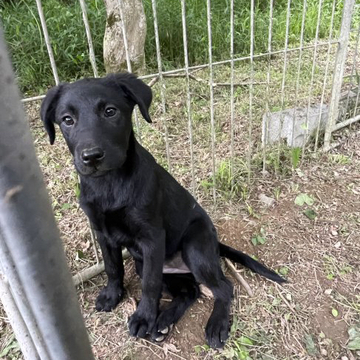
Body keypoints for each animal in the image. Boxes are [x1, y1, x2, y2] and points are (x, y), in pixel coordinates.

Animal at [40, 73, 286, 348]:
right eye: (67, 120)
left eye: (110, 112)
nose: (91, 157)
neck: (109, 184)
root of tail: (215, 245)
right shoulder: (103, 233)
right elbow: (113, 267)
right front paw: (113, 295)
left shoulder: (152, 238)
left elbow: (149, 284)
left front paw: (143, 318)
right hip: (152, 266)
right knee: (190, 291)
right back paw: (164, 322)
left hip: (194, 248)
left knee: (224, 287)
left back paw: (215, 324)